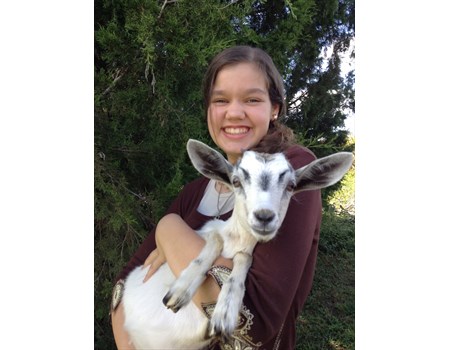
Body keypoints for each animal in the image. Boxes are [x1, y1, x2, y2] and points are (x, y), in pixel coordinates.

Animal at [121, 138, 354, 348]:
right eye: (236, 181)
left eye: (291, 185)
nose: (264, 216)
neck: (234, 241)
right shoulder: (209, 230)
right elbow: (215, 238)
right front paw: (180, 291)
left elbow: (244, 257)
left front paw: (224, 313)